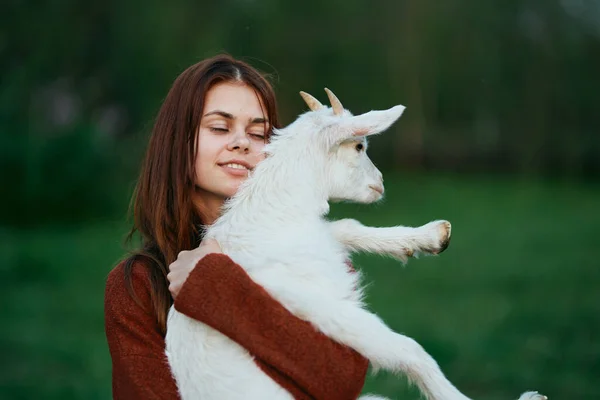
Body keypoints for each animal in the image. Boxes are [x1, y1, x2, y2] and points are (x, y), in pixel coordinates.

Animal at [165, 88, 548, 400]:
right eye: (360, 145)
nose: (380, 182)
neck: (272, 221)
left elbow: (345, 227)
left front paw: (426, 237)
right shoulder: (322, 309)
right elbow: (409, 349)